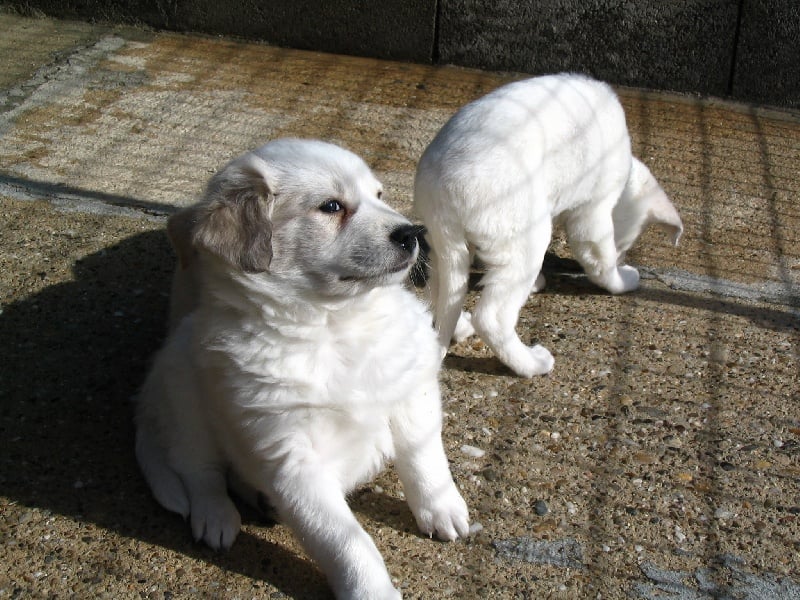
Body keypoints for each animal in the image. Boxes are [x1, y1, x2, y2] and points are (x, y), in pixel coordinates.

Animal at [137, 138, 468, 596]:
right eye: (331, 206)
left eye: (379, 195)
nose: (412, 233)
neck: (334, 327)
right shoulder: (292, 460)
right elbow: (348, 543)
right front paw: (372, 591)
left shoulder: (410, 393)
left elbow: (424, 459)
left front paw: (441, 508)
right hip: (182, 393)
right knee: (198, 470)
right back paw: (215, 516)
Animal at [416, 74, 684, 376]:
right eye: (623, 245)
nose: (623, 256)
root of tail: (441, 190)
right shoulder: (592, 213)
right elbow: (601, 261)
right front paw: (622, 279)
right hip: (526, 239)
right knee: (490, 318)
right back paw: (532, 364)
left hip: (445, 245)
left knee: (441, 293)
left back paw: (459, 325)